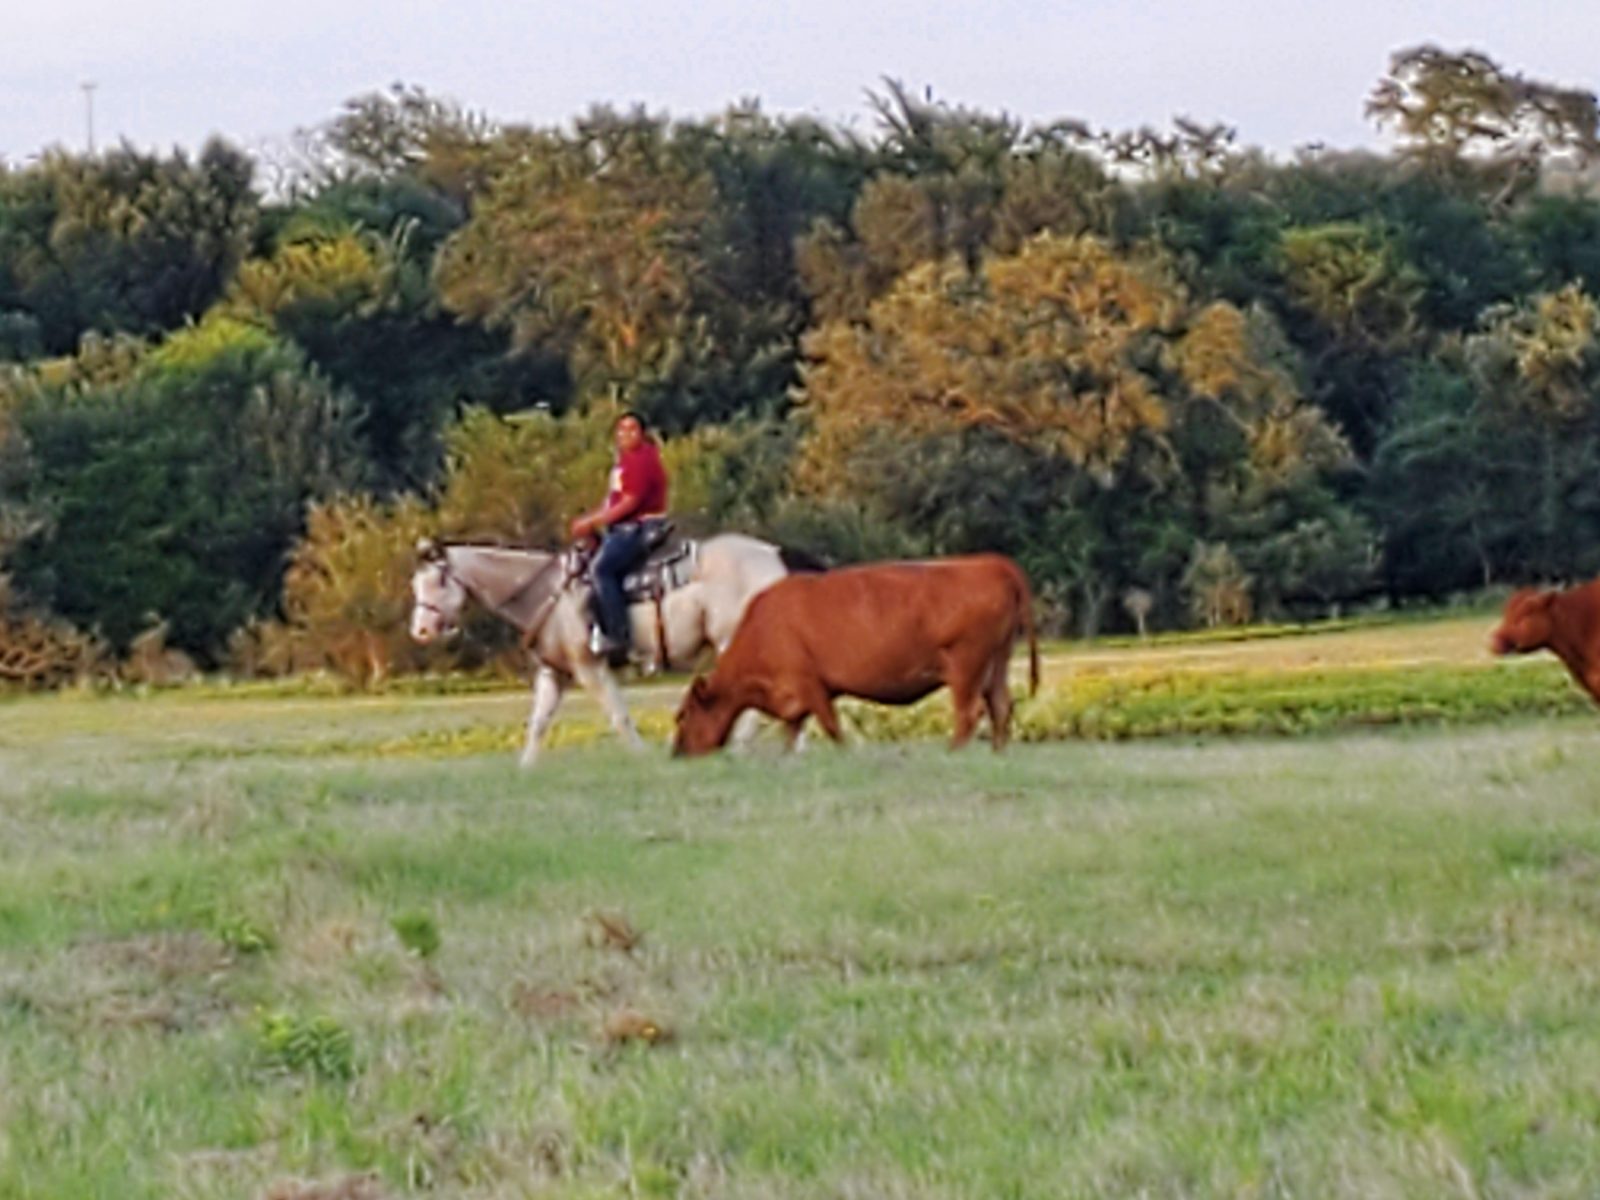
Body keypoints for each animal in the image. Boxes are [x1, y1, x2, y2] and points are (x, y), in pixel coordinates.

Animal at [409, 533, 822, 766]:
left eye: (438, 581)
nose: (421, 631)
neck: (549, 593)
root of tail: (774, 553)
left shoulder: (589, 668)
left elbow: (618, 715)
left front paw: (643, 758)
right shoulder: (554, 673)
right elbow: (538, 723)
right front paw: (524, 770)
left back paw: (745, 748)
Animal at [672, 554, 1040, 756]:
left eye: (685, 716)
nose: (678, 753)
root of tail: (990, 563)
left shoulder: (810, 684)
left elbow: (831, 726)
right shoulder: (795, 699)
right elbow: (792, 732)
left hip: (966, 665)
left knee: (969, 712)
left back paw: (952, 753)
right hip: (996, 665)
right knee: (1001, 706)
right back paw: (997, 753)